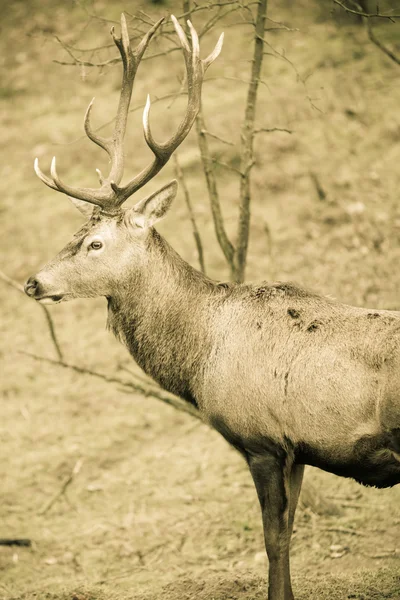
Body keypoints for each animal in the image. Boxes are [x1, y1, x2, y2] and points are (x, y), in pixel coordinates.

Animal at [24, 12, 400, 600]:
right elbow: (290, 532)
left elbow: (273, 538)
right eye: (74, 234)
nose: (32, 282)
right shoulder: (296, 449)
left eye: (95, 244)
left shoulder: (261, 439)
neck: (200, 356)